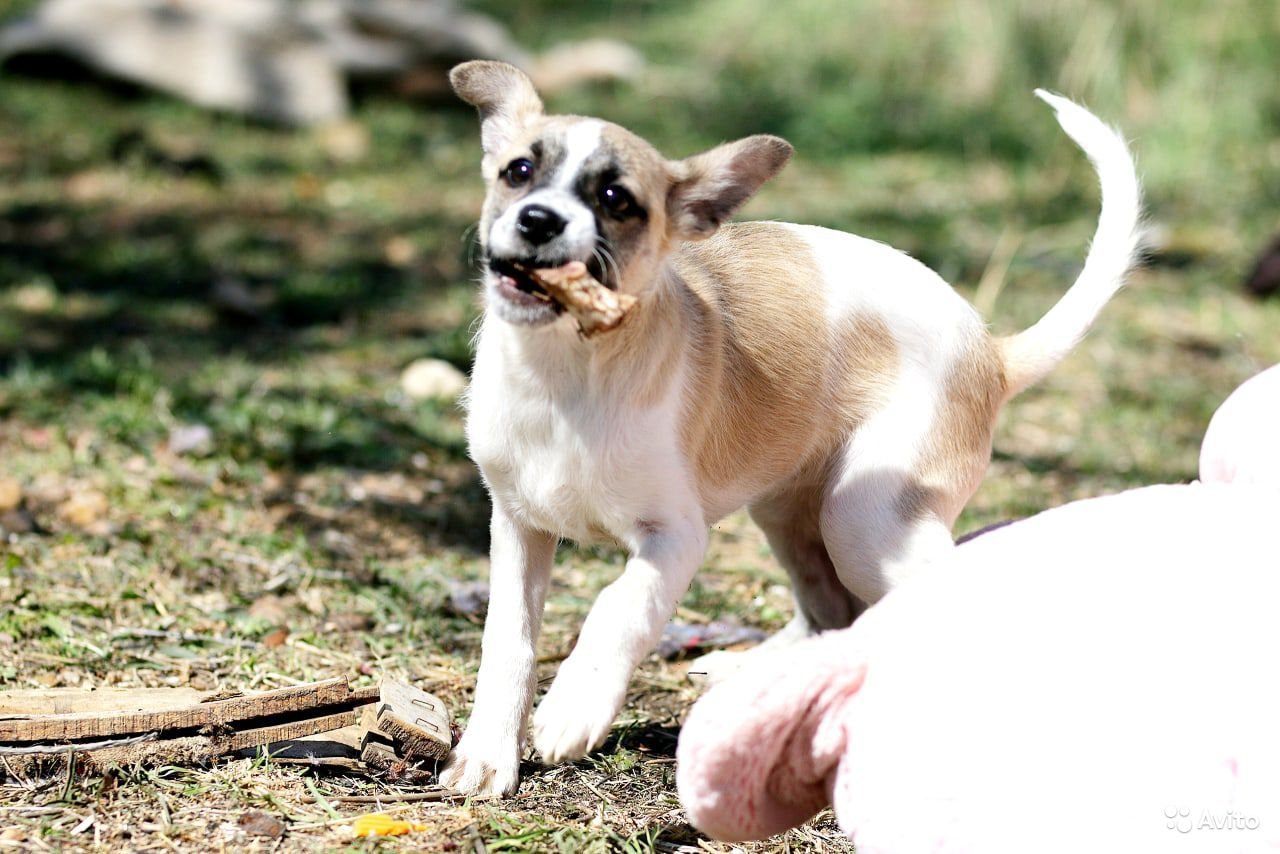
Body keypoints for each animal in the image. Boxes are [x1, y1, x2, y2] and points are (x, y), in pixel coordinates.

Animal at [437, 58, 1141, 793]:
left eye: (615, 197)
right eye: (517, 171)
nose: (538, 220)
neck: (565, 374)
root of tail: (993, 351)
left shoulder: (674, 537)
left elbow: (619, 607)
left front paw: (574, 708)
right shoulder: (518, 524)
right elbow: (508, 643)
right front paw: (487, 756)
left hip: (864, 520)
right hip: (790, 510)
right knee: (833, 612)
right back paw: (752, 676)